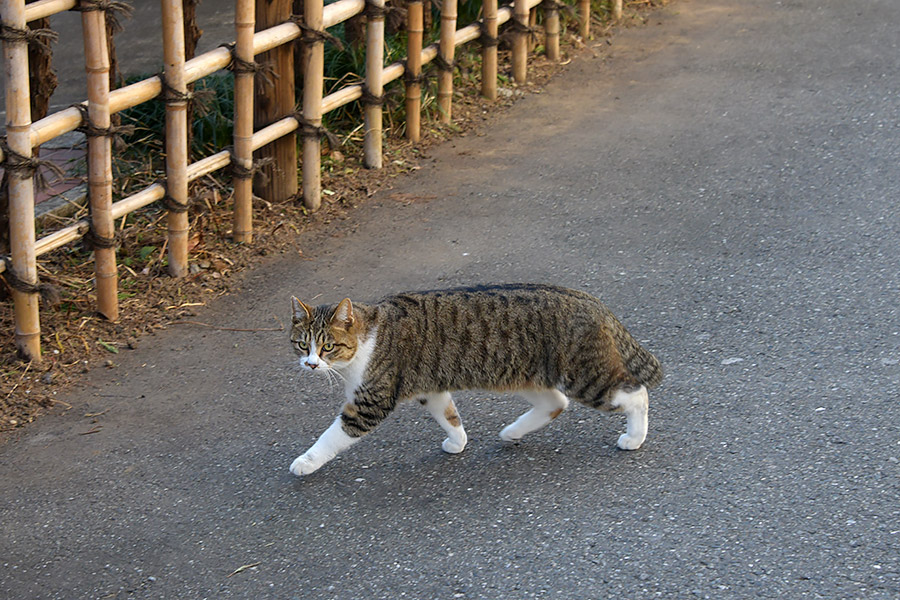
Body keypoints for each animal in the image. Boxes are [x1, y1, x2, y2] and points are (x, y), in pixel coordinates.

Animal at [288, 284, 660, 476]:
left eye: (328, 346)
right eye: (302, 344)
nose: (311, 364)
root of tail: (591, 300)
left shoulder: (371, 402)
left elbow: (332, 436)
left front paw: (305, 462)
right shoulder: (432, 390)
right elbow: (449, 416)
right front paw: (458, 442)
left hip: (585, 375)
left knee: (635, 393)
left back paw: (634, 437)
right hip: (527, 376)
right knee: (556, 403)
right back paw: (513, 432)